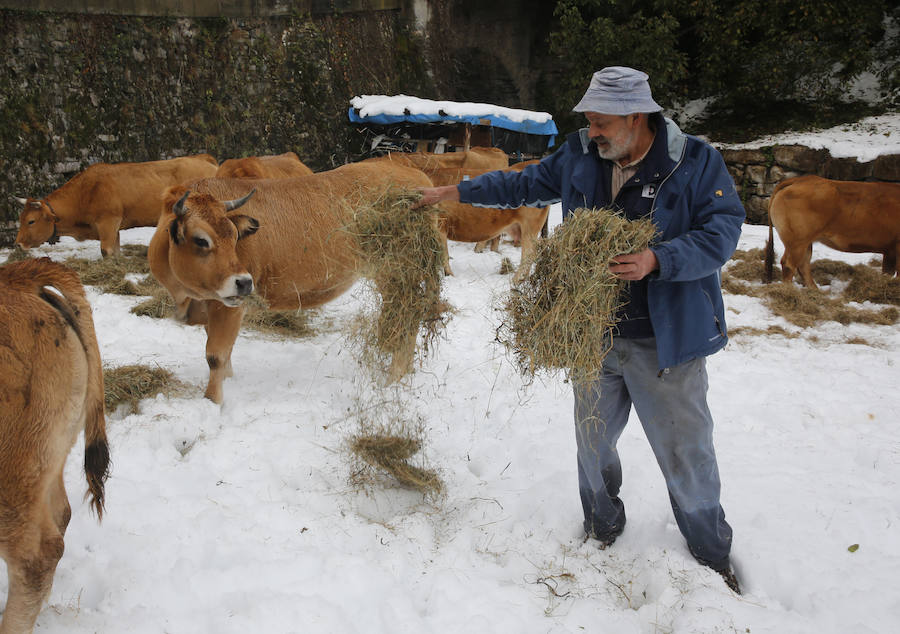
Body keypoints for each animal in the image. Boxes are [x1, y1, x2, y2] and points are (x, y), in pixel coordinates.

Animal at [14, 154, 219, 256]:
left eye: (31, 221)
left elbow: (106, 251)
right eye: (20, 219)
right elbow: (116, 250)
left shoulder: (108, 222)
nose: (17, 243)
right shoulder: (115, 228)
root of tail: (203, 159)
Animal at [148, 160, 436, 402]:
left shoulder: (228, 306)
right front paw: (230, 381)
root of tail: (412, 173)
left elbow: (216, 355)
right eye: (201, 240)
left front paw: (213, 401)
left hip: (399, 272)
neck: (186, 294)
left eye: (234, 236)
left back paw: (395, 378)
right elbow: (224, 349)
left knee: (407, 319)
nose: (244, 283)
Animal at [768, 173, 900, 286]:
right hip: (797, 241)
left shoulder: (889, 251)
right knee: (789, 265)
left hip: (805, 242)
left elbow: (887, 273)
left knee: (803, 265)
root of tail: (800, 180)